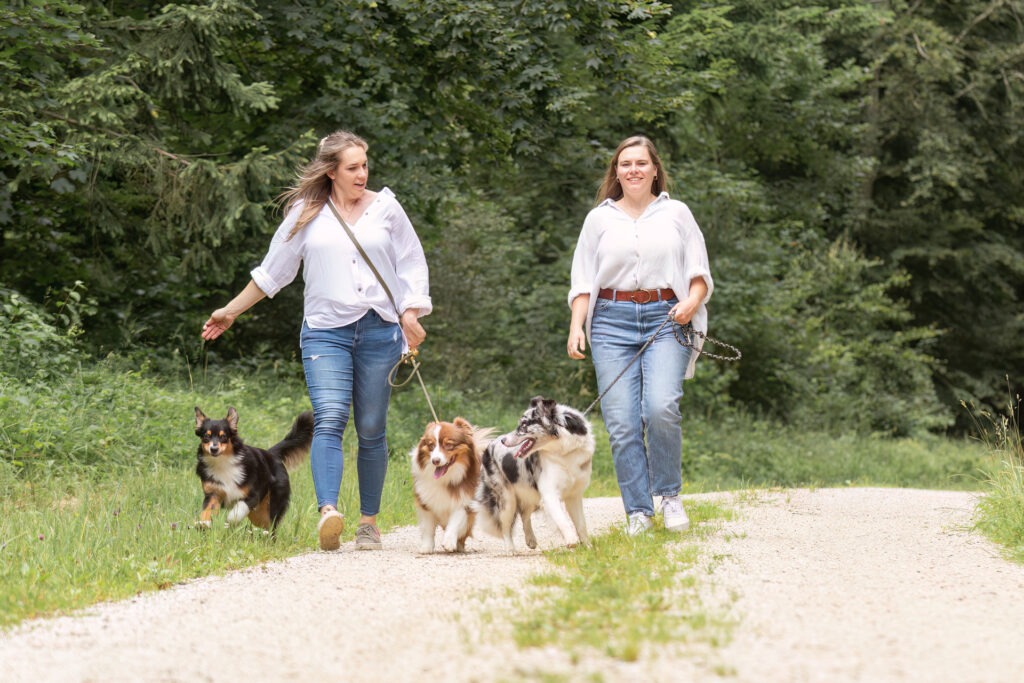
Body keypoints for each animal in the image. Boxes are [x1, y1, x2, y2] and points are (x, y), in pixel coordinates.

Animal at [409, 417, 493, 557]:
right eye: (431, 446)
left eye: (448, 445)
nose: (435, 461)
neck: (446, 478)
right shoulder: (425, 502)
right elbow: (427, 528)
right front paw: (426, 547)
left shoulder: (464, 501)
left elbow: (455, 522)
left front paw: (449, 542)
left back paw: (458, 546)